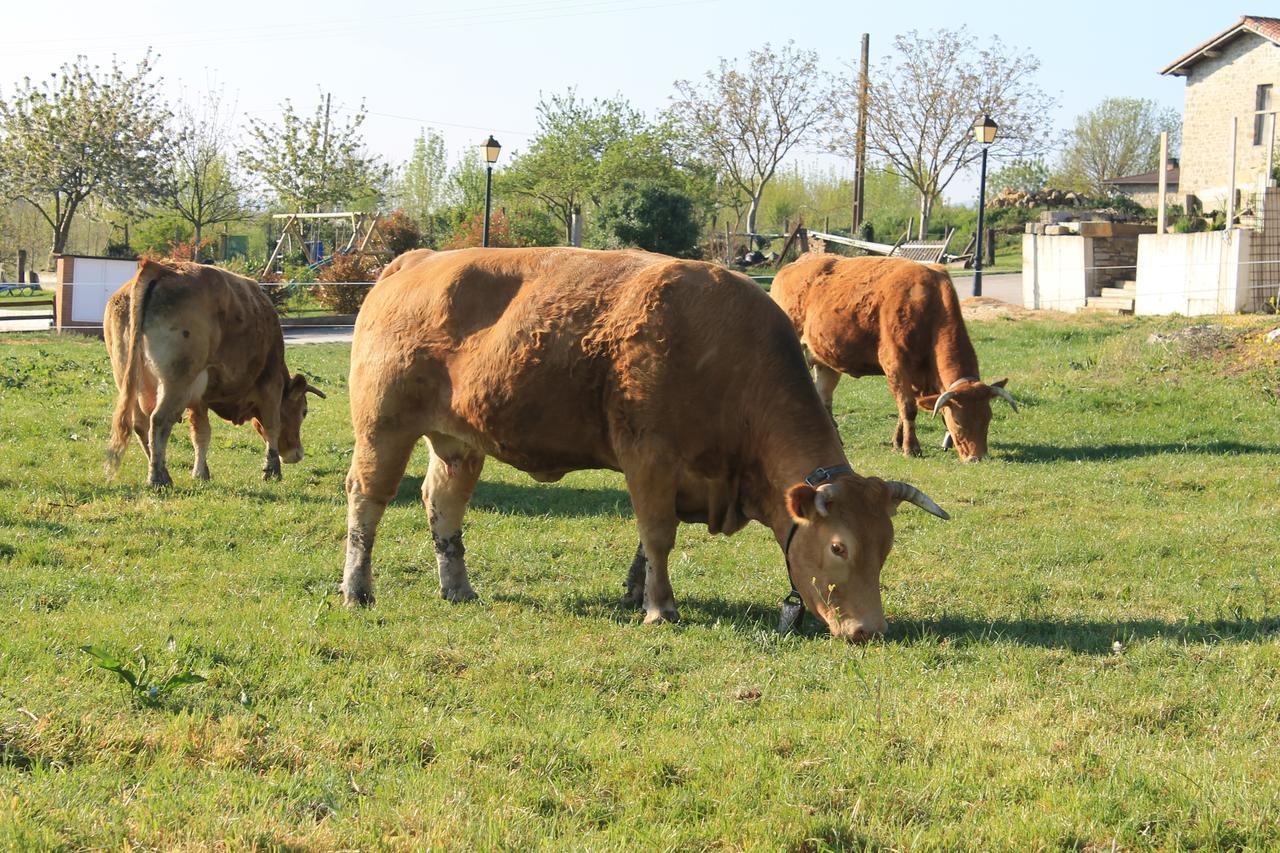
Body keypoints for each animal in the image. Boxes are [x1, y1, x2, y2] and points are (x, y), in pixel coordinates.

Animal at [340, 245, 952, 637]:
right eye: (838, 547)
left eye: (885, 546)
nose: (869, 630)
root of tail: (416, 260)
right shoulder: (649, 458)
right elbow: (657, 535)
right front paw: (661, 607)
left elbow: (644, 541)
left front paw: (635, 592)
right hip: (381, 429)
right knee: (367, 501)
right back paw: (357, 589)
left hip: (457, 442)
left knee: (442, 506)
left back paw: (457, 587)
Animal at [768, 256, 1018, 461]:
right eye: (957, 421)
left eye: (988, 418)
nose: (978, 457)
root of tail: (792, 265)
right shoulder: (895, 364)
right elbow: (908, 407)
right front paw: (911, 448)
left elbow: (904, 407)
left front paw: (898, 442)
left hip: (825, 360)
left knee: (824, 398)